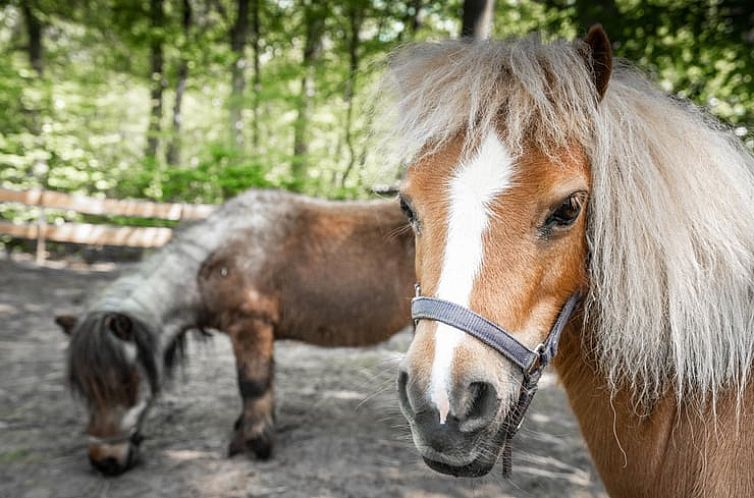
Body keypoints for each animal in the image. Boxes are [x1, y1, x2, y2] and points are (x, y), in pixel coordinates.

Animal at [55, 190, 414, 474]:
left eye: (125, 383)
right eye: (85, 389)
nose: (105, 461)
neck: (218, 261)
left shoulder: (250, 326)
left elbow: (252, 385)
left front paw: (252, 444)